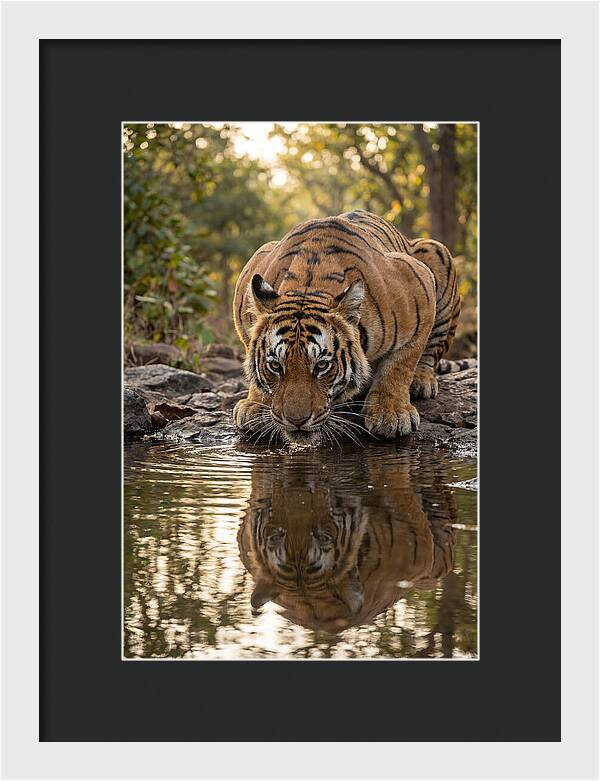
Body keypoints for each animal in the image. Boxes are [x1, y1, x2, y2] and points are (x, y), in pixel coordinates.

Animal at [232, 209, 463, 444]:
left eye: (322, 366)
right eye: (275, 366)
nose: (296, 421)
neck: (308, 286)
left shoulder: (419, 284)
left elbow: (400, 365)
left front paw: (391, 413)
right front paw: (255, 404)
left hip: (437, 252)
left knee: (431, 350)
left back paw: (421, 381)